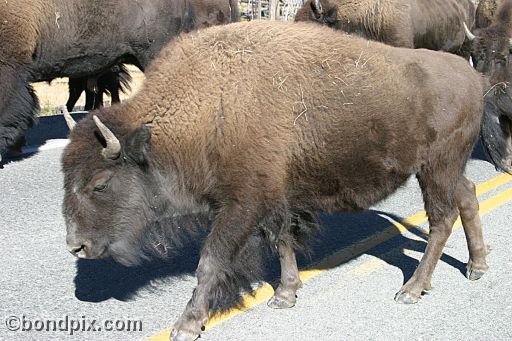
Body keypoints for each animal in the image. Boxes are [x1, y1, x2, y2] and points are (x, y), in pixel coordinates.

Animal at [61, 21, 504, 340]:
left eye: (100, 184)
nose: (75, 245)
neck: (208, 106)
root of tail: (471, 77)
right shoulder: (275, 199)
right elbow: (282, 242)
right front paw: (285, 295)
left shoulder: (241, 205)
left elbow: (211, 261)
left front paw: (186, 325)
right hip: (446, 169)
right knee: (467, 197)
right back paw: (477, 266)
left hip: (436, 169)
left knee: (441, 220)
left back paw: (412, 289)